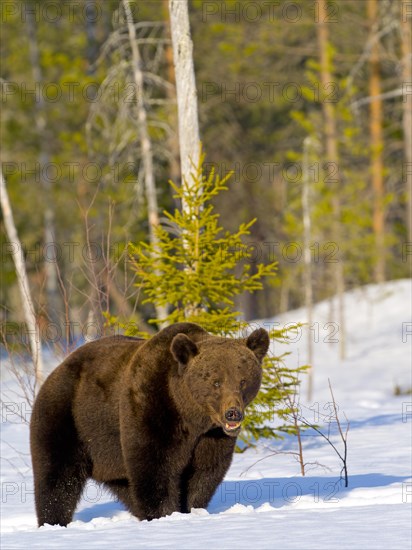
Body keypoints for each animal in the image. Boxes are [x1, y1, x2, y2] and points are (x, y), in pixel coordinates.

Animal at [29, 322, 270, 528]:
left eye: (243, 381)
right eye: (216, 382)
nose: (232, 414)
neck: (191, 415)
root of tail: (55, 371)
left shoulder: (210, 437)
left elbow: (205, 472)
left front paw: (191, 509)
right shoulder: (150, 409)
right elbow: (154, 468)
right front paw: (163, 514)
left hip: (111, 456)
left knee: (125, 487)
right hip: (67, 419)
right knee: (57, 479)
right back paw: (53, 522)